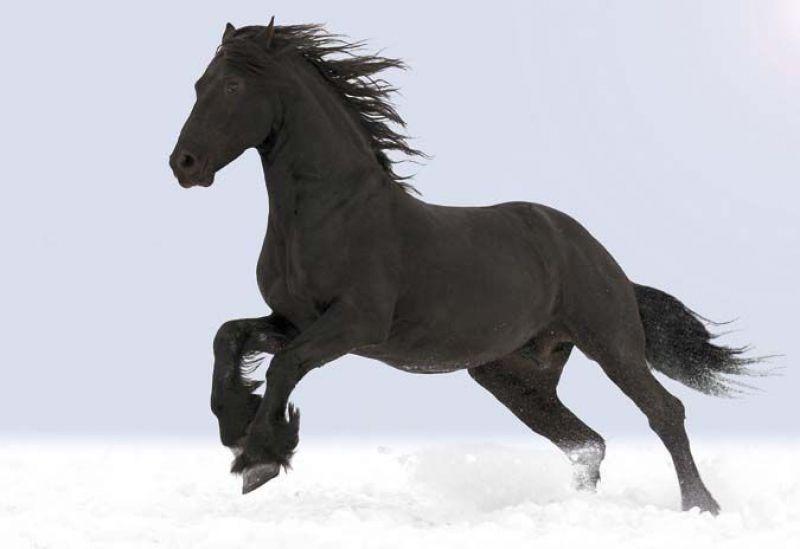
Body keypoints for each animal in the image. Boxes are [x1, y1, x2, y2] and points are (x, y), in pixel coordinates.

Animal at [169, 18, 762, 514]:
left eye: (232, 87)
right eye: (198, 85)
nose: (184, 164)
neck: (332, 213)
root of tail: (602, 258)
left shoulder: (355, 324)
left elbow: (283, 366)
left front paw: (259, 457)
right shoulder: (294, 319)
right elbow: (229, 337)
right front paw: (236, 425)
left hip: (611, 343)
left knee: (664, 412)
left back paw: (701, 506)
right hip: (513, 375)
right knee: (586, 441)